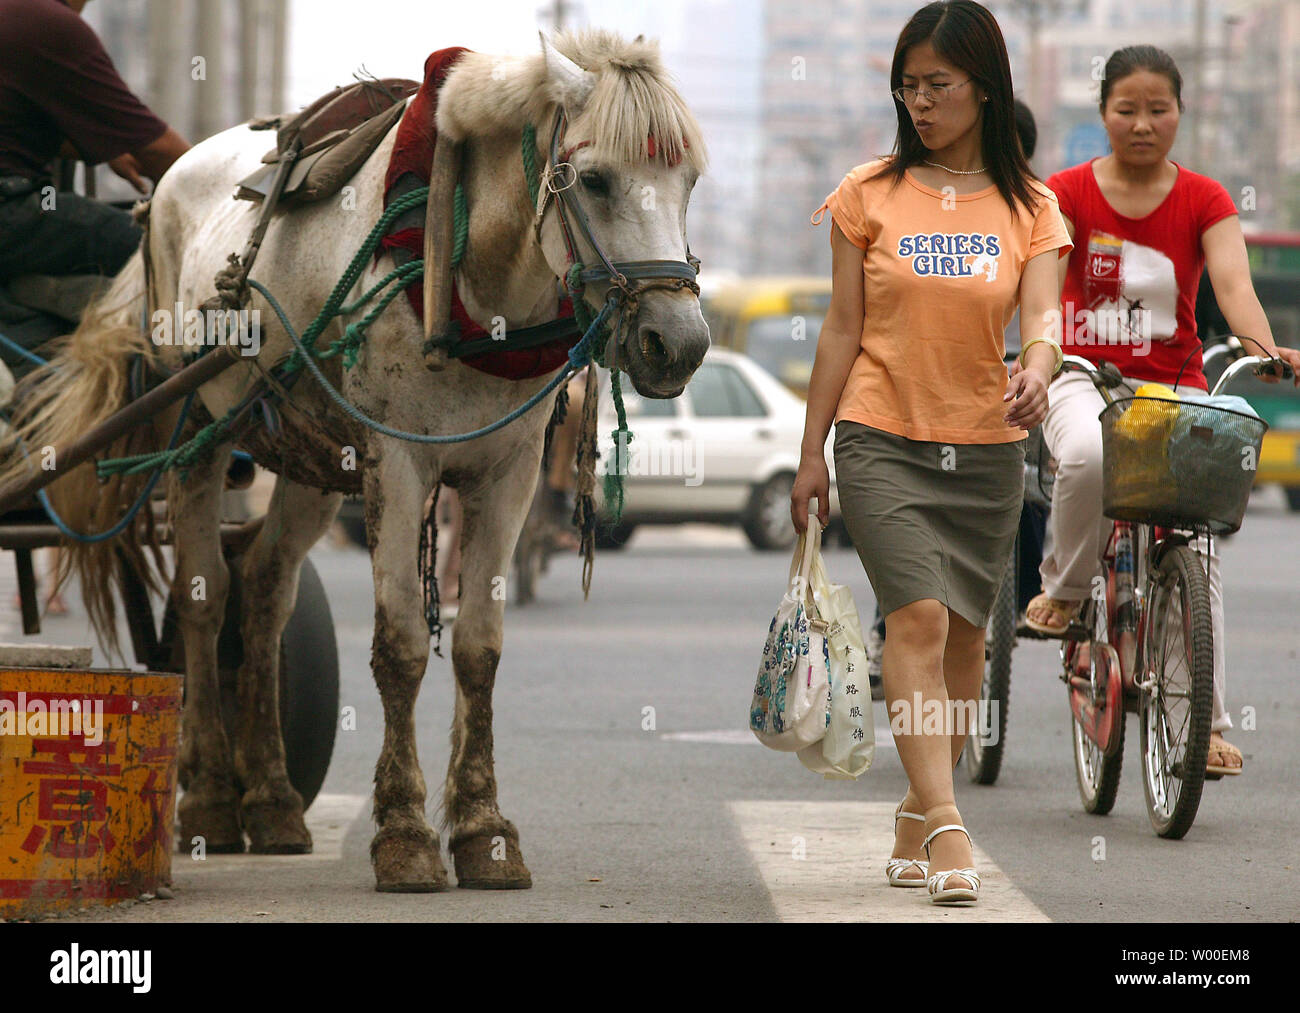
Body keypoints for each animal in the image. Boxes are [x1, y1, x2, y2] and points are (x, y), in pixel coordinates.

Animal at [5, 27, 707, 889]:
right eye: (599, 179)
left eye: (688, 181)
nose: (680, 343)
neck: (457, 272)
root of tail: (159, 192)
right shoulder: (399, 464)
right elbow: (401, 644)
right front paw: (404, 832)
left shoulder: (504, 474)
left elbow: (479, 647)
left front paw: (483, 830)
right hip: (193, 426)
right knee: (205, 598)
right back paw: (209, 796)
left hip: (314, 454)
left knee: (265, 591)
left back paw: (271, 798)